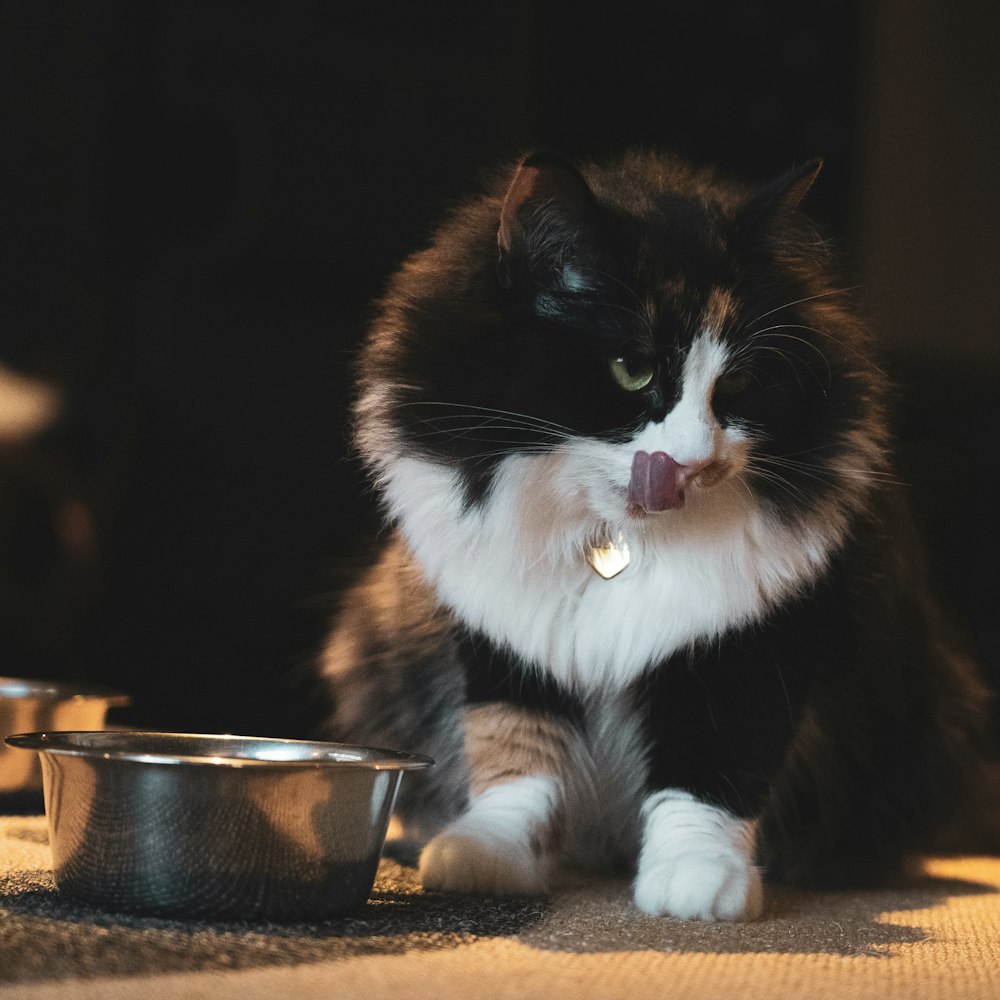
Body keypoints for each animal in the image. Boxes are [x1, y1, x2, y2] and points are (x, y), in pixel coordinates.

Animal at [316, 148, 988, 920]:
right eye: (632, 369)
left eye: (740, 383)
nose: (697, 462)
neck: (617, 542)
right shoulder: (505, 636)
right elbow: (514, 752)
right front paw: (489, 856)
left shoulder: (750, 642)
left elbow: (711, 769)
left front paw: (698, 884)